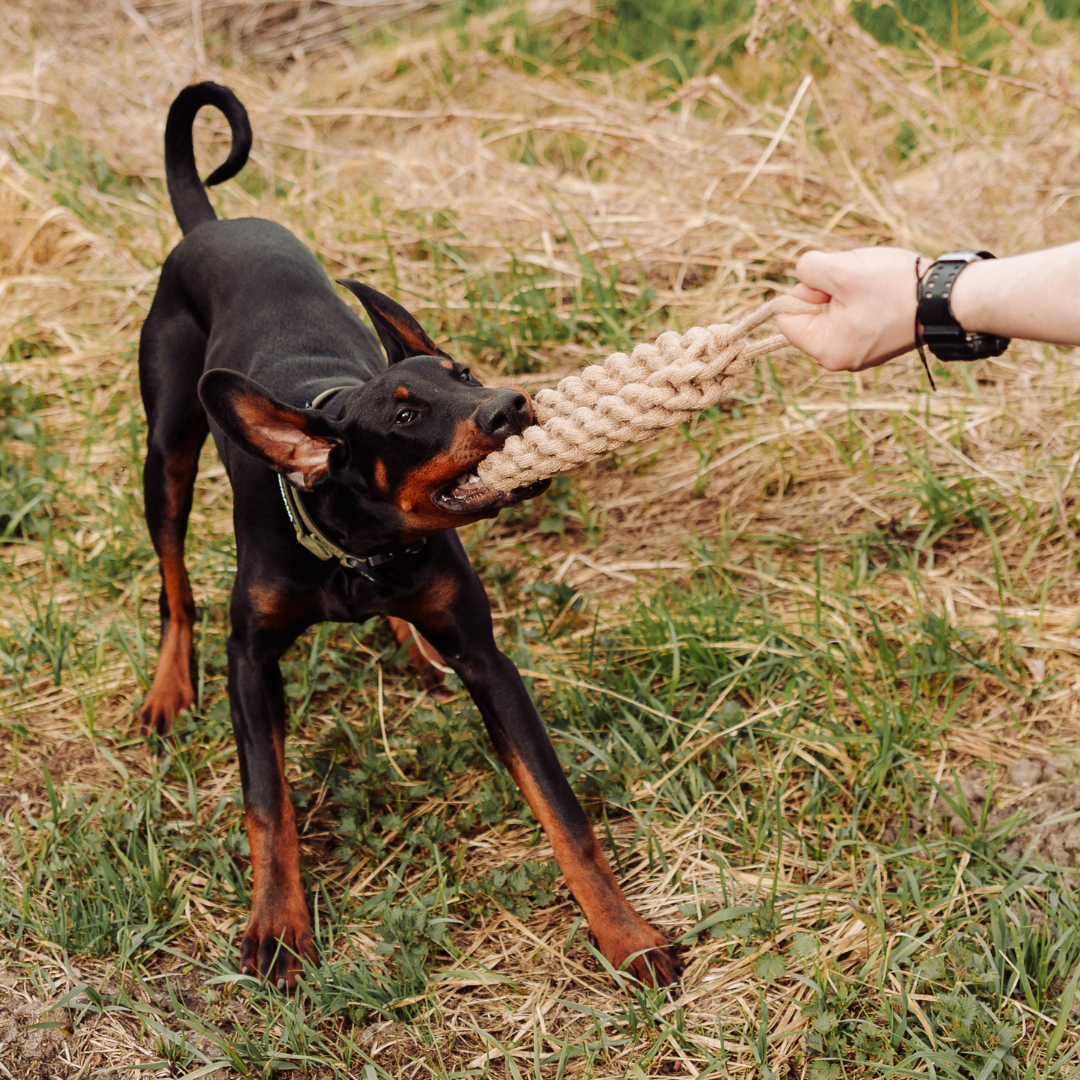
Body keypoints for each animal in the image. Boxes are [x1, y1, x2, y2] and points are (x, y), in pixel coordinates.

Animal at [132, 82, 673, 989]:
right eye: (407, 417)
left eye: (464, 372)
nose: (511, 405)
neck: (357, 552)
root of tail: (210, 225)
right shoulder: (251, 659)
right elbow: (267, 803)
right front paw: (277, 929)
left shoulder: (487, 660)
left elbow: (564, 812)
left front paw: (626, 936)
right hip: (166, 450)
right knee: (174, 577)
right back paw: (170, 685)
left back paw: (410, 645)